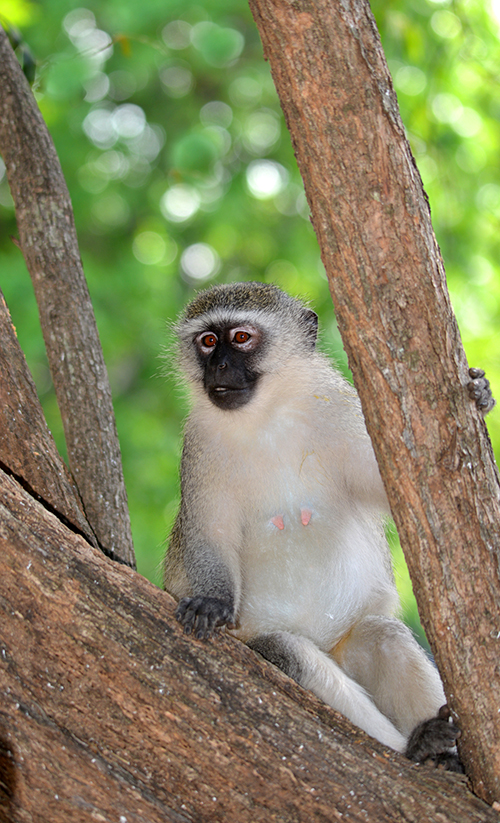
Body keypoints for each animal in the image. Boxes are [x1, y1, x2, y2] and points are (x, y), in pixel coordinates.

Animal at [165, 282, 496, 768]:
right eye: (208, 342)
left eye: (241, 338)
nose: (220, 366)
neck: (266, 417)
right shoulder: (199, 446)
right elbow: (209, 533)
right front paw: (211, 601)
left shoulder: (341, 413)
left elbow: (398, 488)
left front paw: (479, 396)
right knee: (289, 652)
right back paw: (415, 748)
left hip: (347, 643)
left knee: (382, 634)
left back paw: (438, 749)